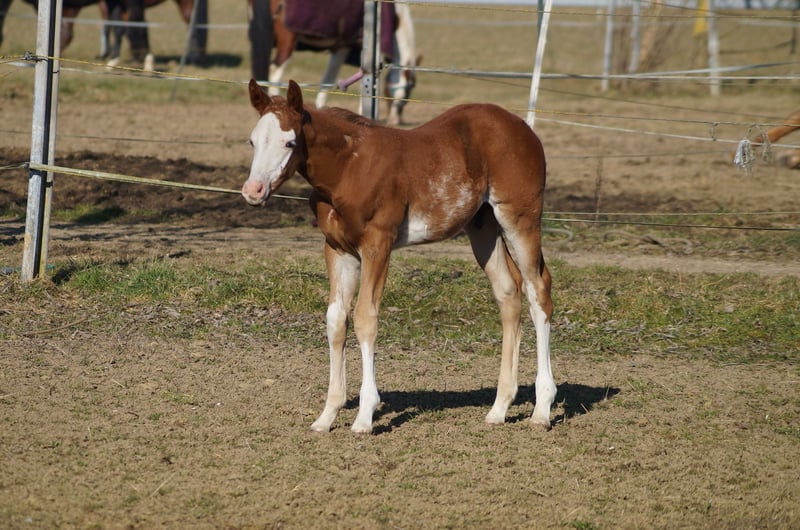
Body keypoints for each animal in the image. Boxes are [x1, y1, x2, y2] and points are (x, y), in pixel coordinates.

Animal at [242, 79, 556, 434]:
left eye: (290, 142)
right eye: (253, 140)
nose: (253, 191)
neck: (348, 168)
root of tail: (523, 127)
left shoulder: (377, 244)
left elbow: (365, 318)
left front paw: (365, 415)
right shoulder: (338, 249)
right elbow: (336, 320)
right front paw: (327, 415)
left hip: (519, 218)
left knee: (538, 290)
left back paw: (542, 410)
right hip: (483, 228)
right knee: (508, 292)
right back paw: (499, 408)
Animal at [248, 0, 418, 126]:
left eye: (406, 97)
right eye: (401, 96)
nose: (394, 120)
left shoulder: (340, 46)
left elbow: (327, 82)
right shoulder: (351, 47)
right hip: (288, 42)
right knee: (275, 72)